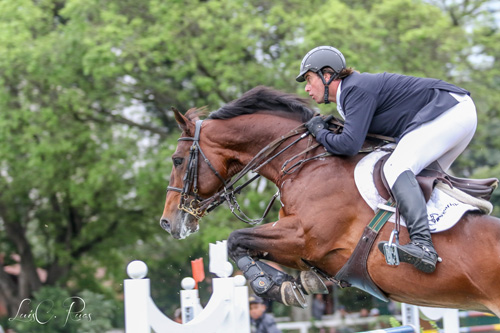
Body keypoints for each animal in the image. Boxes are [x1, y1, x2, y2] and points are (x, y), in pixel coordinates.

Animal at [159, 85, 500, 314]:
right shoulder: (302, 249)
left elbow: (235, 239)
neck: (306, 163)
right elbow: (246, 246)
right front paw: (294, 283)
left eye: (177, 160)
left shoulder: (302, 238)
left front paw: (271, 285)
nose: (167, 222)